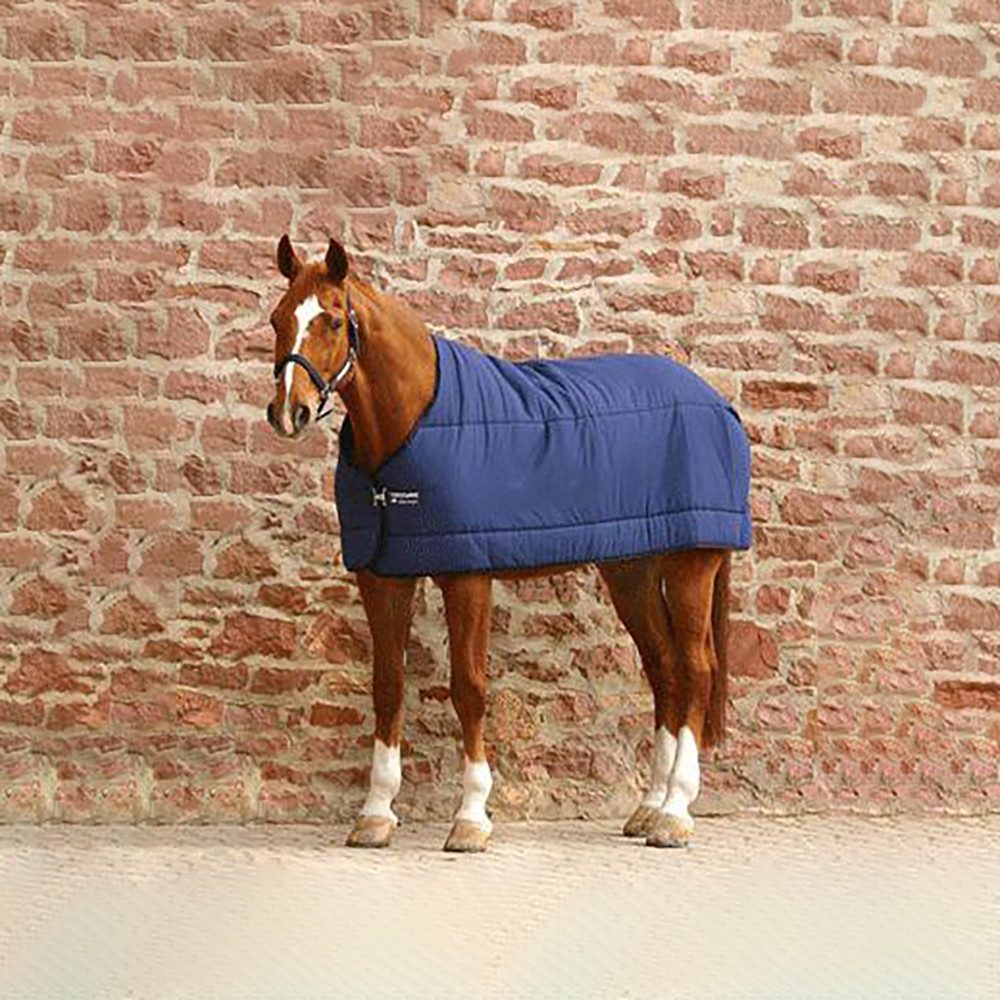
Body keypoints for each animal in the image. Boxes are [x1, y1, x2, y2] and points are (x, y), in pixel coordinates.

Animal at [265, 236, 750, 852]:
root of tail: (716, 402)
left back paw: (675, 813)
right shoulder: (382, 576)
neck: (413, 423)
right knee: (665, 670)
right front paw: (375, 814)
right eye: (277, 318)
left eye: (330, 320)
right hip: (631, 570)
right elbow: (388, 685)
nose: (289, 411)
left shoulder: (468, 575)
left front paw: (471, 817)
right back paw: (648, 808)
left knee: (695, 669)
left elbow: (469, 687)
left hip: (692, 565)